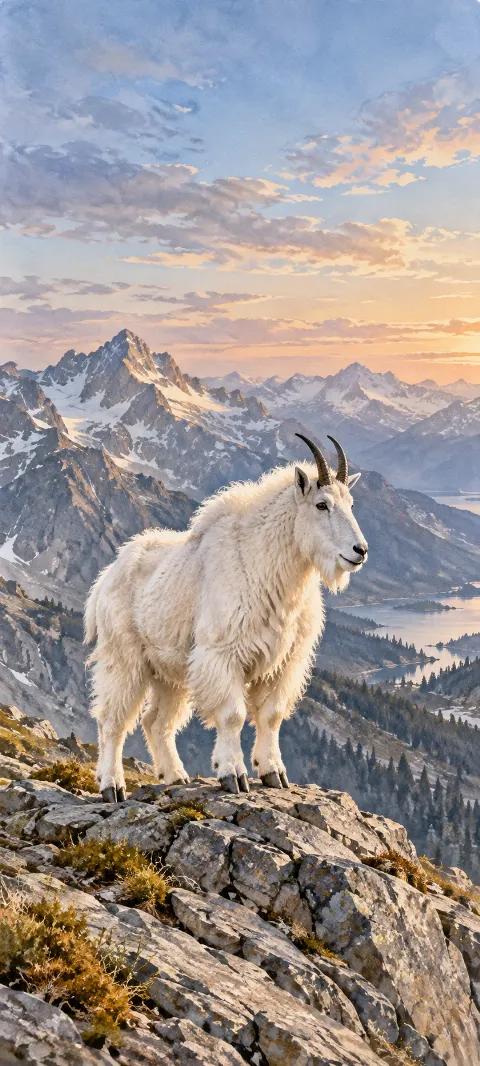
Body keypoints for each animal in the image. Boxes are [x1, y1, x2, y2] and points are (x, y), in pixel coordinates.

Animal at [85, 434, 368, 800]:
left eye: (351, 504)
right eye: (321, 505)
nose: (359, 551)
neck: (266, 563)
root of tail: (105, 578)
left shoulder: (285, 662)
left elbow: (272, 715)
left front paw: (273, 772)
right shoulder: (222, 654)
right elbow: (233, 715)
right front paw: (232, 774)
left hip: (168, 672)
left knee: (156, 721)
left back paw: (176, 776)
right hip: (124, 657)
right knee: (112, 720)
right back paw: (113, 785)